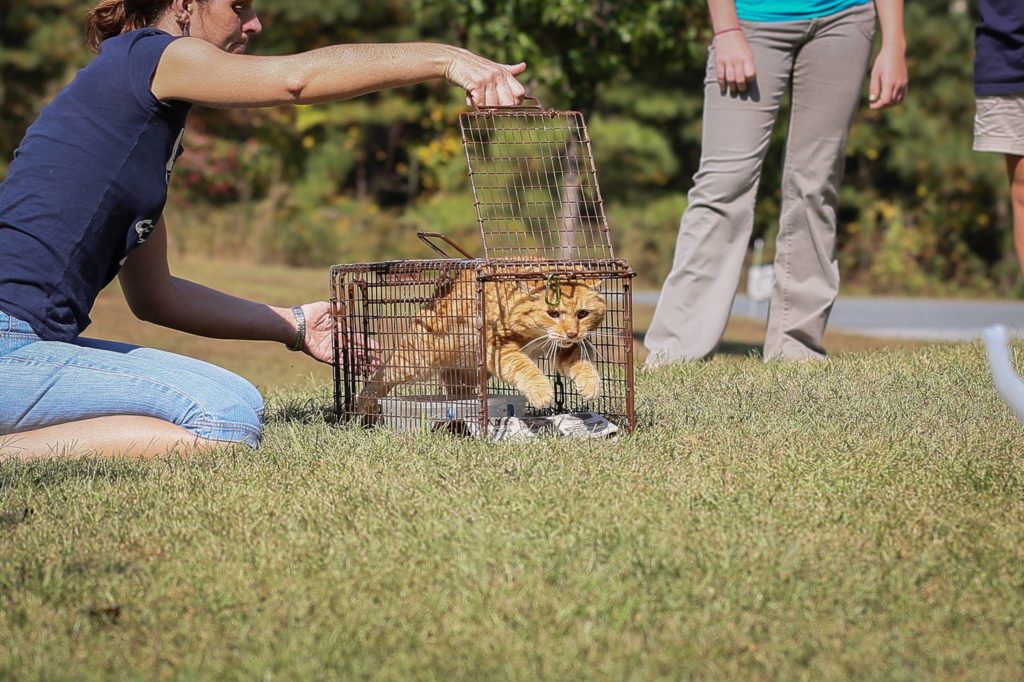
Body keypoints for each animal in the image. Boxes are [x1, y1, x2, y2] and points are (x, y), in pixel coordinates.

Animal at [354, 266, 606, 413]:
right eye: (553, 313)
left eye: (582, 314)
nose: (572, 333)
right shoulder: (499, 348)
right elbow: (526, 368)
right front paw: (542, 393)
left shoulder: (566, 345)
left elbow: (581, 363)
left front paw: (591, 386)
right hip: (415, 362)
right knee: (379, 378)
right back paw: (362, 407)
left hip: (467, 375)